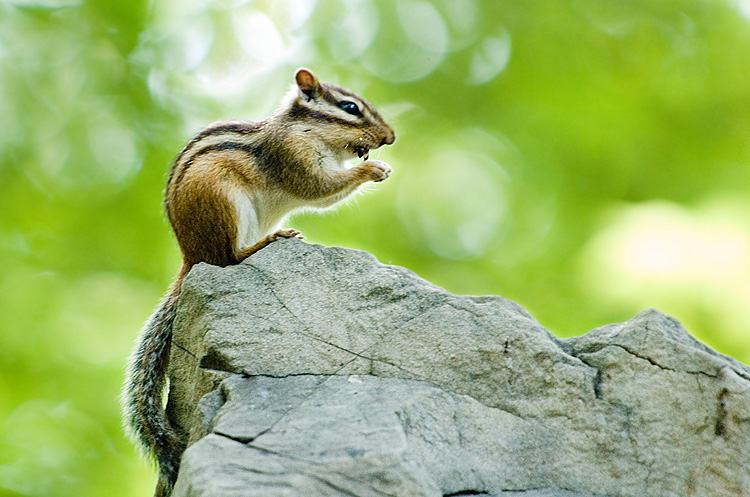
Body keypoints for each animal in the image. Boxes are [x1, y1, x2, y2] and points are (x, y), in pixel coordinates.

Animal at [120, 68, 396, 494]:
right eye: (350, 107)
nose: (390, 138)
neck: (308, 132)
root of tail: (190, 257)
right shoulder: (294, 157)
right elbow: (319, 189)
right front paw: (374, 170)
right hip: (223, 202)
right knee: (229, 257)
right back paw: (268, 241)